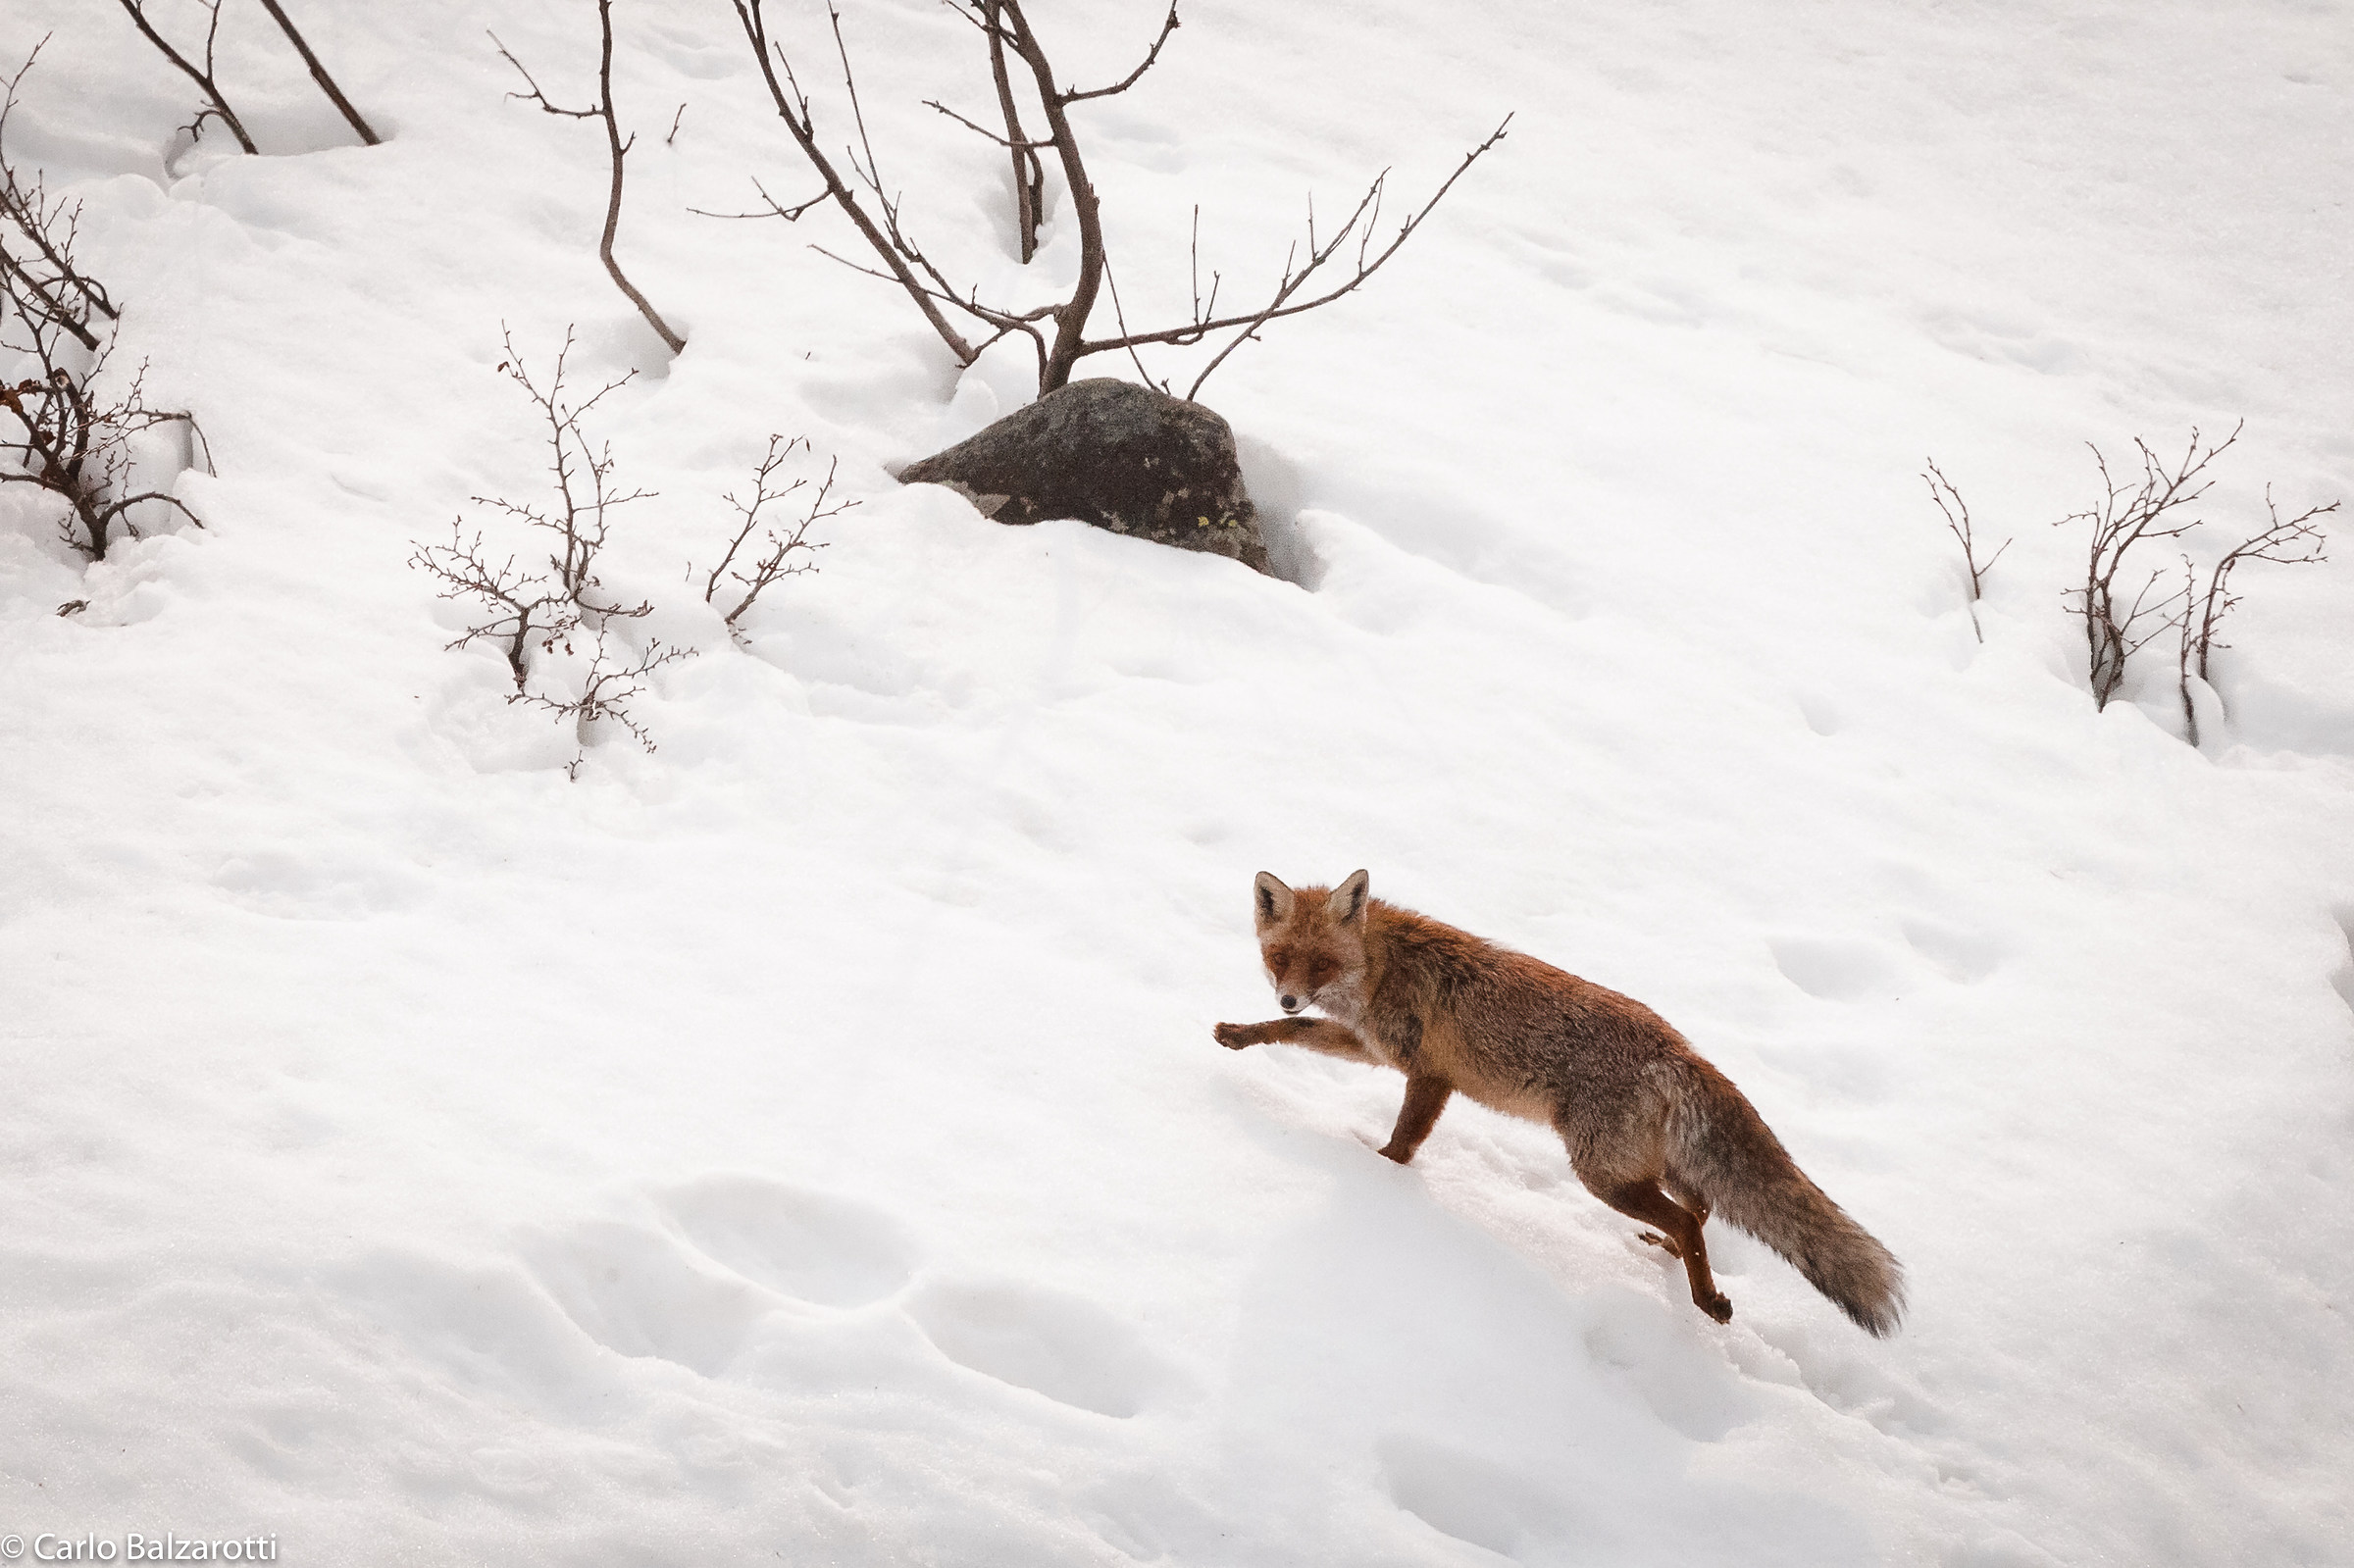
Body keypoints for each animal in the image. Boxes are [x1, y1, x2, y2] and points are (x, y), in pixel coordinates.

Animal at [1213, 870, 1905, 1336]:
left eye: (1322, 964)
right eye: (1281, 958)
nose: (1288, 997)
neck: (1382, 967)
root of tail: (1678, 1047)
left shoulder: (1429, 1076)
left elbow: (1402, 1143)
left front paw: (1378, 1177)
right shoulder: (1371, 1047)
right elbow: (1293, 1036)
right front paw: (1242, 1035)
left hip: (1599, 1172)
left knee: (1689, 1216)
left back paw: (1706, 1299)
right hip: (1644, 1164)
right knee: (1701, 1206)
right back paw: (1675, 1258)